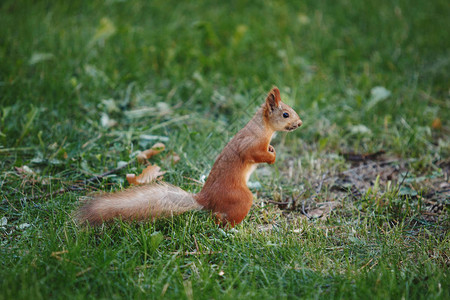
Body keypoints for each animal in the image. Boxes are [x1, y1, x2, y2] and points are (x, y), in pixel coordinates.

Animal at [77, 86, 302, 227]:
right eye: (285, 114)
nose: (299, 123)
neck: (263, 128)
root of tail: (205, 199)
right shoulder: (249, 144)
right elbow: (253, 154)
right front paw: (271, 158)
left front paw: (272, 150)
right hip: (240, 198)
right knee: (220, 218)